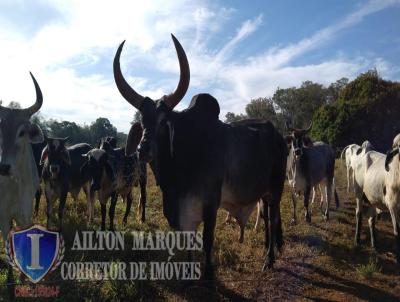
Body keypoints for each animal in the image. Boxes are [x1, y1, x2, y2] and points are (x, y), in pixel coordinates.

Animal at [112, 33, 288, 278]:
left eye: (163, 122)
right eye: (142, 122)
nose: (142, 149)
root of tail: (279, 135)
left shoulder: (210, 204)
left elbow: (207, 241)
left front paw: (209, 274)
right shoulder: (182, 212)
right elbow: (189, 244)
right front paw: (189, 272)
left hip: (277, 186)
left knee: (273, 216)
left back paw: (269, 259)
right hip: (263, 190)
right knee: (269, 219)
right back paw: (266, 249)